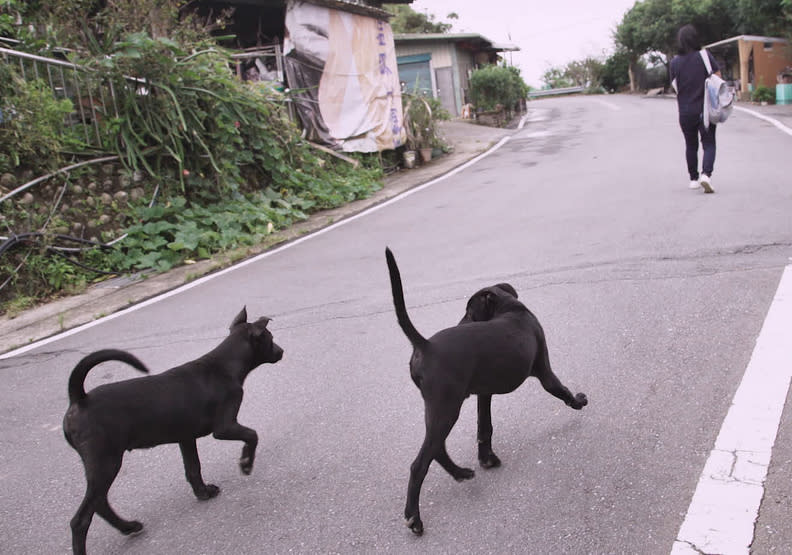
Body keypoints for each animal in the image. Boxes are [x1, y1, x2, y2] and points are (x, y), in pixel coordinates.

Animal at [63, 308, 284, 555]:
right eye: (271, 338)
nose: (281, 351)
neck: (224, 366)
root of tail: (80, 399)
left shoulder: (185, 437)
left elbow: (193, 468)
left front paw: (203, 493)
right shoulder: (224, 427)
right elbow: (252, 435)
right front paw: (246, 464)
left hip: (100, 463)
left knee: (99, 503)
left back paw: (129, 526)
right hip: (106, 461)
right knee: (81, 519)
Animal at [386, 250, 584, 536]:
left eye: (469, 312)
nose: (460, 321)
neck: (511, 308)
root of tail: (426, 345)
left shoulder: (483, 393)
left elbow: (484, 426)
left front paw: (486, 458)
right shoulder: (545, 372)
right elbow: (561, 390)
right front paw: (579, 400)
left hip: (437, 407)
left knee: (437, 448)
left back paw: (460, 473)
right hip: (447, 407)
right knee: (419, 464)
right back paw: (414, 518)